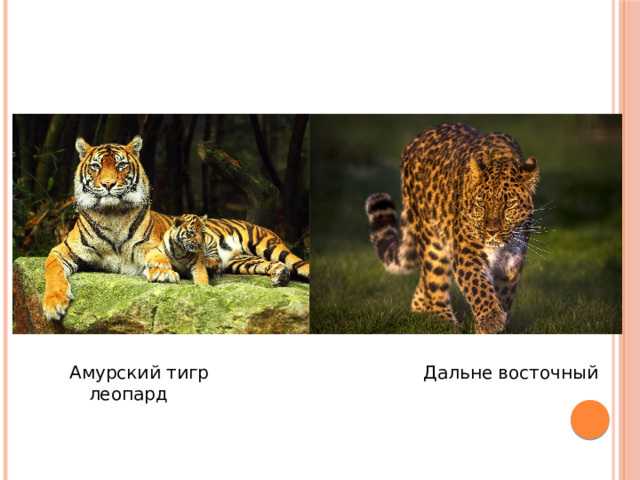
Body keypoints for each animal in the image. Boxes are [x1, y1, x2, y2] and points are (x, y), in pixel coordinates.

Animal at [42, 136, 310, 321]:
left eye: (121, 166)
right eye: (96, 167)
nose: (108, 185)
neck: (112, 215)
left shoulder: (150, 246)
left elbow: (157, 257)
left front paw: (162, 271)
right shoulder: (61, 250)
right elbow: (52, 271)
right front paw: (54, 304)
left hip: (268, 245)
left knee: (297, 263)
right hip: (242, 262)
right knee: (271, 265)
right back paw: (278, 275)